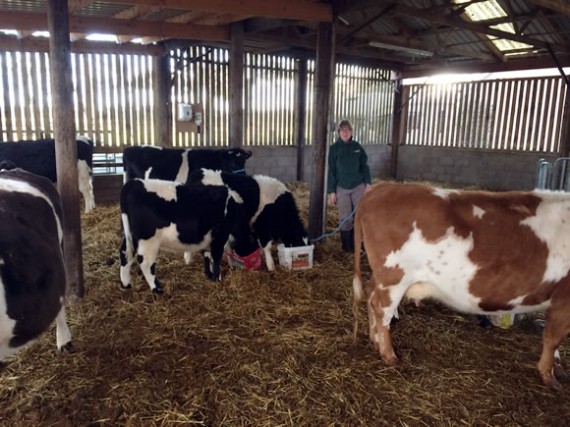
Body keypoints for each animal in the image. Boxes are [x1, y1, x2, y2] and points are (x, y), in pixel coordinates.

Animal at [118, 178, 256, 294]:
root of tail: (134, 182)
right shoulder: (220, 236)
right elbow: (216, 258)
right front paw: (218, 278)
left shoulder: (207, 237)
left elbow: (207, 255)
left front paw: (209, 274)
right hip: (148, 240)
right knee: (145, 262)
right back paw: (157, 289)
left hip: (130, 236)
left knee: (125, 253)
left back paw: (126, 284)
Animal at [350, 182, 568, 390]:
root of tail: (381, 188)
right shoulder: (563, 299)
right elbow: (552, 339)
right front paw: (549, 375)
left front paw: (557, 368)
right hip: (394, 276)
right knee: (382, 308)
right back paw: (389, 355)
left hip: (382, 276)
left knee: (370, 295)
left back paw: (374, 339)